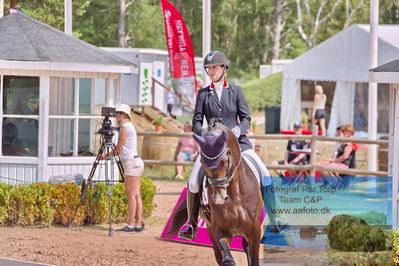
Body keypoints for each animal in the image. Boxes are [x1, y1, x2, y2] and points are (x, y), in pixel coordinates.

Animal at [166, 121, 262, 266]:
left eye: (224, 160)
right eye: (202, 161)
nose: (218, 198)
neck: (235, 195)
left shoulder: (254, 233)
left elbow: (254, 260)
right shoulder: (221, 230)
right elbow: (227, 260)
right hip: (210, 229)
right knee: (219, 256)